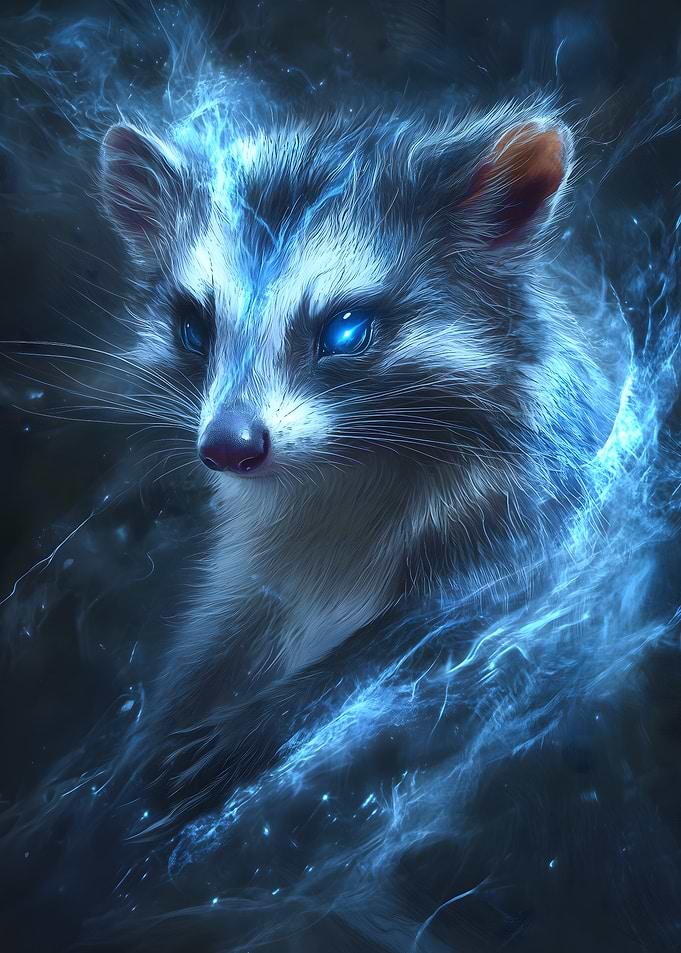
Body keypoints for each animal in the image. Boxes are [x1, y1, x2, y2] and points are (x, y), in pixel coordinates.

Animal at [100, 99, 608, 735]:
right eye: (194, 328)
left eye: (346, 330)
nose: (228, 445)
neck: (341, 479)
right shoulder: (244, 596)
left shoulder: (510, 532)